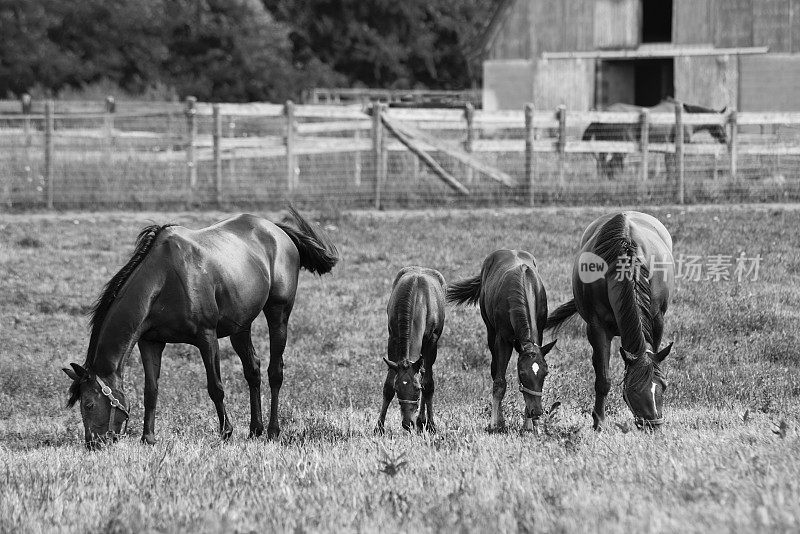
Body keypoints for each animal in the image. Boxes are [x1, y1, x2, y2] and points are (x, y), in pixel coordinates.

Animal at [63, 207, 338, 450]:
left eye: (88, 404)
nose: (93, 444)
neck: (164, 280)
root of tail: (276, 229)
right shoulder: (150, 342)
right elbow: (151, 390)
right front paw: (148, 438)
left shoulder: (207, 337)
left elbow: (215, 387)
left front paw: (226, 432)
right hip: (241, 326)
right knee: (253, 370)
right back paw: (254, 430)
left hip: (278, 313)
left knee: (275, 371)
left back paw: (272, 431)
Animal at [378, 268, 446, 436]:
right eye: (397, 388)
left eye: (416, 389)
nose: (408, 423)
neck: (418, 298)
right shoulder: (392, 338)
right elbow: (387, 386)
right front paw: (379, 427)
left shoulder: (431, 342)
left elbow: (428, 384)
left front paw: (431, 425)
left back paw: (423, 421)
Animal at [444, 252, 556, 436]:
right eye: (522, 373)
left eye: (545, 373)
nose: (537, 412)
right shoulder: (503, 339)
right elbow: (499, 382)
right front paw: (495, 424)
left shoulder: (538, 334)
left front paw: (529, 425)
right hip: (491, 332)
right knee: (494, 370)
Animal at [544, 211, 676, 434]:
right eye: (634, 390)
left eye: (664, 386)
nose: (653, 427)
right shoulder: (597, 328)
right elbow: (603, 379)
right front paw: (599, 422)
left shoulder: (657, 321)